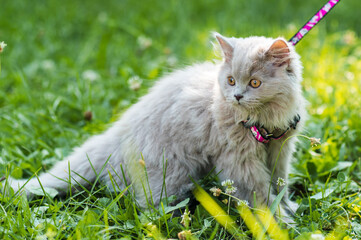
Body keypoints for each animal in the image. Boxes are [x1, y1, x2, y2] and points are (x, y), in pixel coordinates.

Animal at [7, 33, 304, 216]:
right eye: (231, 81)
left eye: (254, 82)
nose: (238, 96)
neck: (263, 121)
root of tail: (116, 134)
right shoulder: (239, 160)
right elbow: (260, 194)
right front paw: (279, 220)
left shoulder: (280, 150)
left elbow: (278, 183)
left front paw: (288, 207)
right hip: (170, 173)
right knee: (149, 207)